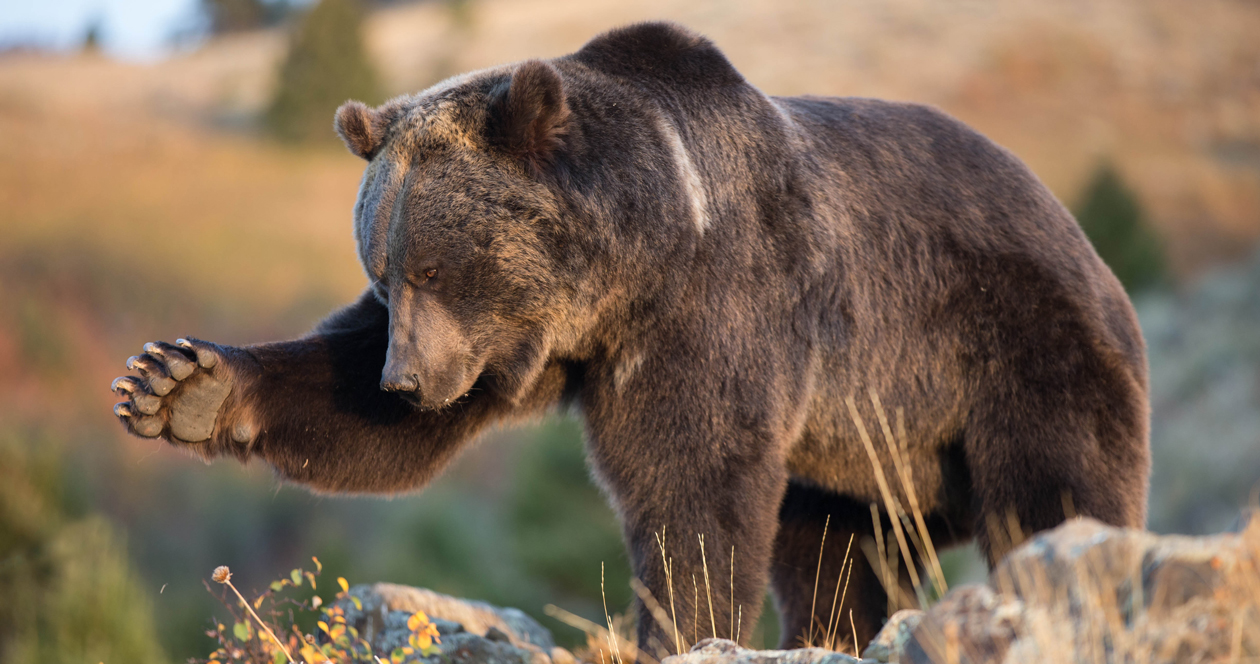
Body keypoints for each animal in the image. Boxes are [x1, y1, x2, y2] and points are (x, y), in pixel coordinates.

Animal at [111, 22, 1149, 656]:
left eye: (436, 267)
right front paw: (177, 383)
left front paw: (682, 627)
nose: (404, 381)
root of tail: (1090, 247)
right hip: (859, 452)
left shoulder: (717, 308)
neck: (628, 270)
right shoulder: (534, 350)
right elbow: (356, 410)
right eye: (384, 270)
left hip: (1008, 351)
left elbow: (693, 482)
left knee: (1057, 493)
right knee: (838, 553)